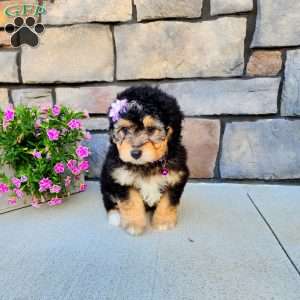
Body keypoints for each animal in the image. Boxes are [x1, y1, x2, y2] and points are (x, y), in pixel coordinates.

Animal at [101, 85, 190, 236]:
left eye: (151, 129)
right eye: (125, 129)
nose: (135, 153)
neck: (147, 165)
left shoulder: (176, 177)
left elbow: (168, 201)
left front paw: (163, 223)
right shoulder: (120, 177)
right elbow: (131, 202)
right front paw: (134, 225)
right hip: (106, 184)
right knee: (109, 201)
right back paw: (115, 217)